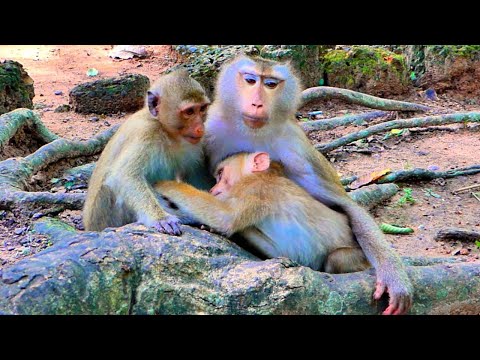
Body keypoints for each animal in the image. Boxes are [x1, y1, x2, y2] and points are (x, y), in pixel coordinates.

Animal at [82, 69, 212, 235]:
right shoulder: (145, 133)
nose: (200, 128)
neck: (166, 132)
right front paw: (161, 218)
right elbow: (125, 175)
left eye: (202, 109)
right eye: (189, 111)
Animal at [156, 152, 370, 272]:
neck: (263, 176)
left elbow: (226, 218)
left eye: (220, 174)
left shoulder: (256, 190)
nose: (212, 189)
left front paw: (165, 184)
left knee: (336, 259)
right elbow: (281, 253)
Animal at [202, 54, 412, 316]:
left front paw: (394, 278)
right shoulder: (210, 128)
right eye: (250, 80)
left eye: (270, 84)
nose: (257, 103)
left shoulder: (296, 148)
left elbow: (344, 205)